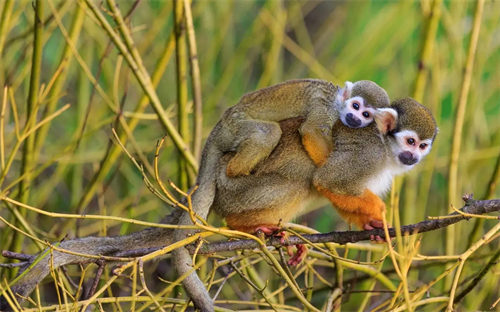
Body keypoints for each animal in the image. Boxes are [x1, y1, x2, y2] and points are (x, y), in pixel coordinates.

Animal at [0, 97, 436, 312]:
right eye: (411, 142)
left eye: (423, 146)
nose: (415, 157)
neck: (384, 149)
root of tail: (215, 172)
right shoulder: (363, 155)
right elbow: (328, 180)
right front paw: (377, 218)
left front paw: (371, 227)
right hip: (237, 188)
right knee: (300, 179)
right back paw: (244, 226)